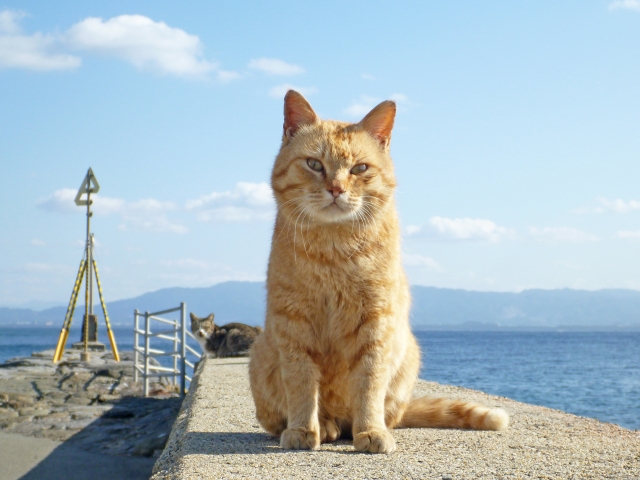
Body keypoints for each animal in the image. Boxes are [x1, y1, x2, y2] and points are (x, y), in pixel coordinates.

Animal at [248, 90, 508, 454]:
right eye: (315, 164)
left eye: (359, 168)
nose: (336, 189)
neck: (334, 251)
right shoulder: (293, 322)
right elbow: (300, 383)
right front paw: (302, 429)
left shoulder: (376, 322)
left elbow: (369, 384)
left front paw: (371, 431)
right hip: (260, 353)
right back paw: (324, 426)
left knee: (374, 414)